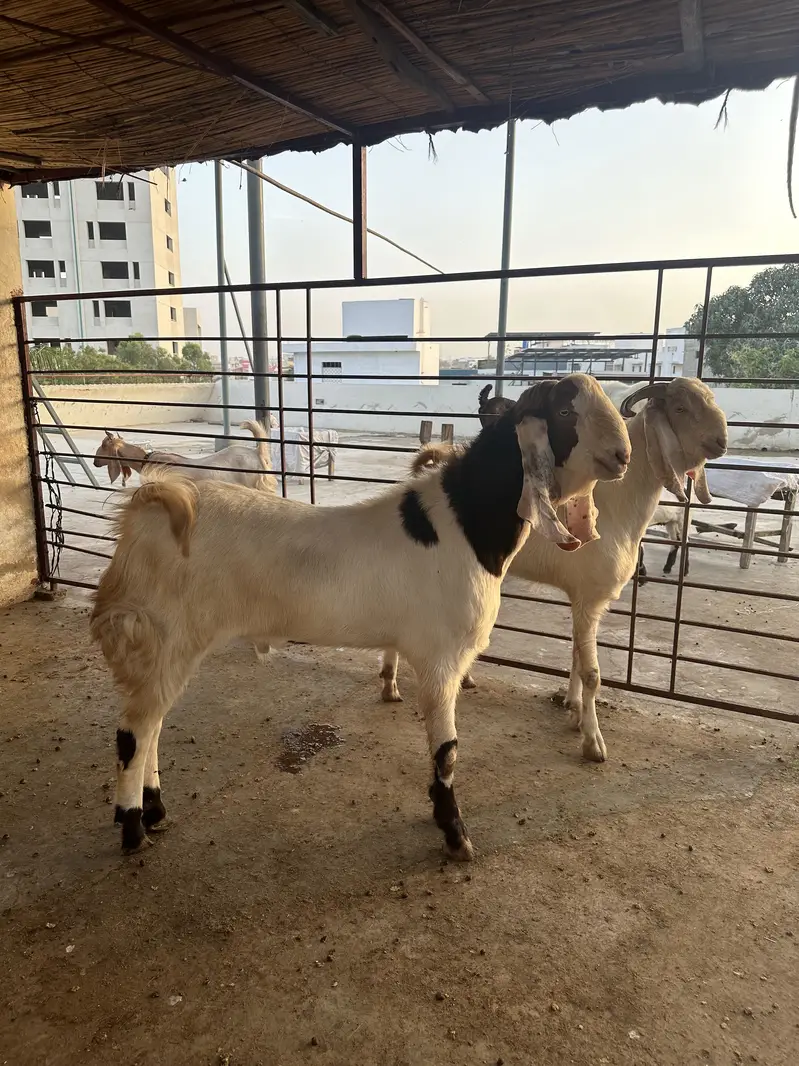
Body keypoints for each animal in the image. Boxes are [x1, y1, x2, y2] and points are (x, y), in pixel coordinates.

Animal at [379, 378, 727, 763]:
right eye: (680, 408)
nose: (721, 442)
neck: (620, 501)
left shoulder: (584, 600)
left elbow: (576, 655)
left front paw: (573, 709)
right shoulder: (589, 597)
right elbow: (591, 672)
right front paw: (592, 742)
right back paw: (392, 683)